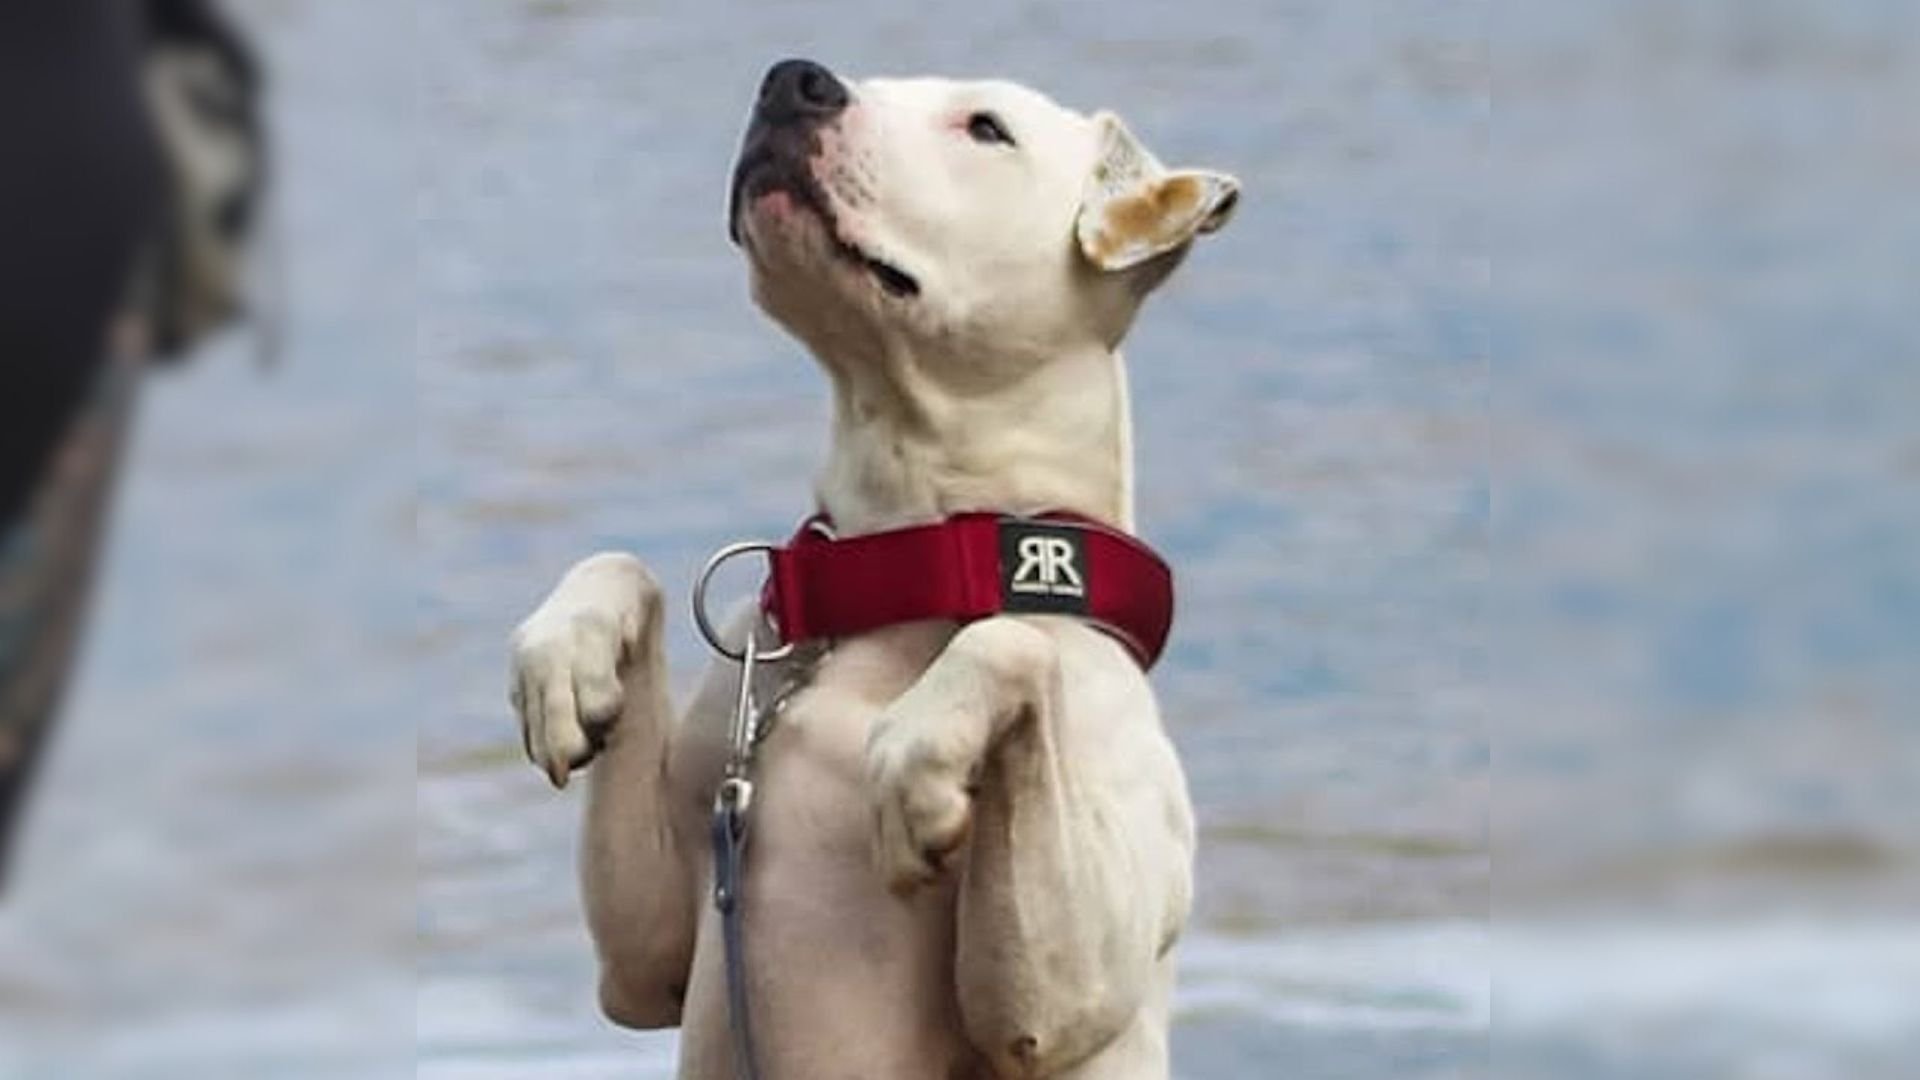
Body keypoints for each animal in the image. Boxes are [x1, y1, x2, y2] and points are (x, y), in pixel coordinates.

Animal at [503, 61, 1236, 1076]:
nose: (793, 80)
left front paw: (916, 766)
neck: (903, 565)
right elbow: (623, 565)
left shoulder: (1052, 998)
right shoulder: (645, 955)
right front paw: (565, 668)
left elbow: (1012, 646)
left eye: (986, 127)